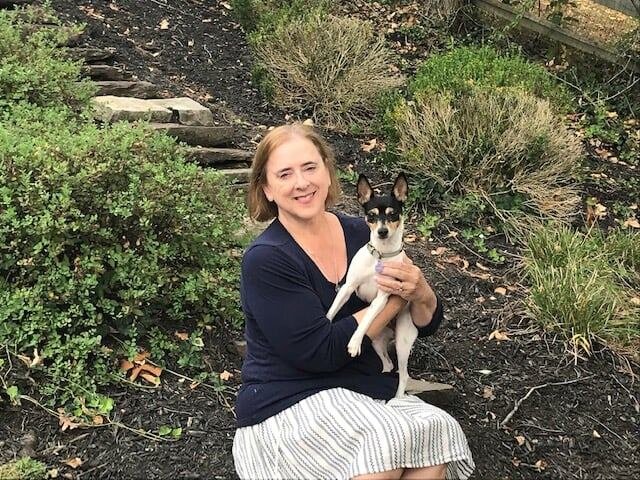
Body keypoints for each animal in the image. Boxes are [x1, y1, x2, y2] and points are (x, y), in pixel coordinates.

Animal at [328, 172, 418, 398]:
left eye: (393, 214)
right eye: (371, 215)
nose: (382, 231)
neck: (380, 255)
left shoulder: (381, 299)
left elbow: (366, 319)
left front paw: (354, 343)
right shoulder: (348, 287)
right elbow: (332, 311)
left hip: (403, 341)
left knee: (404, 375)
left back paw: (397, 398)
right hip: (377, 341)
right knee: (388, 364)